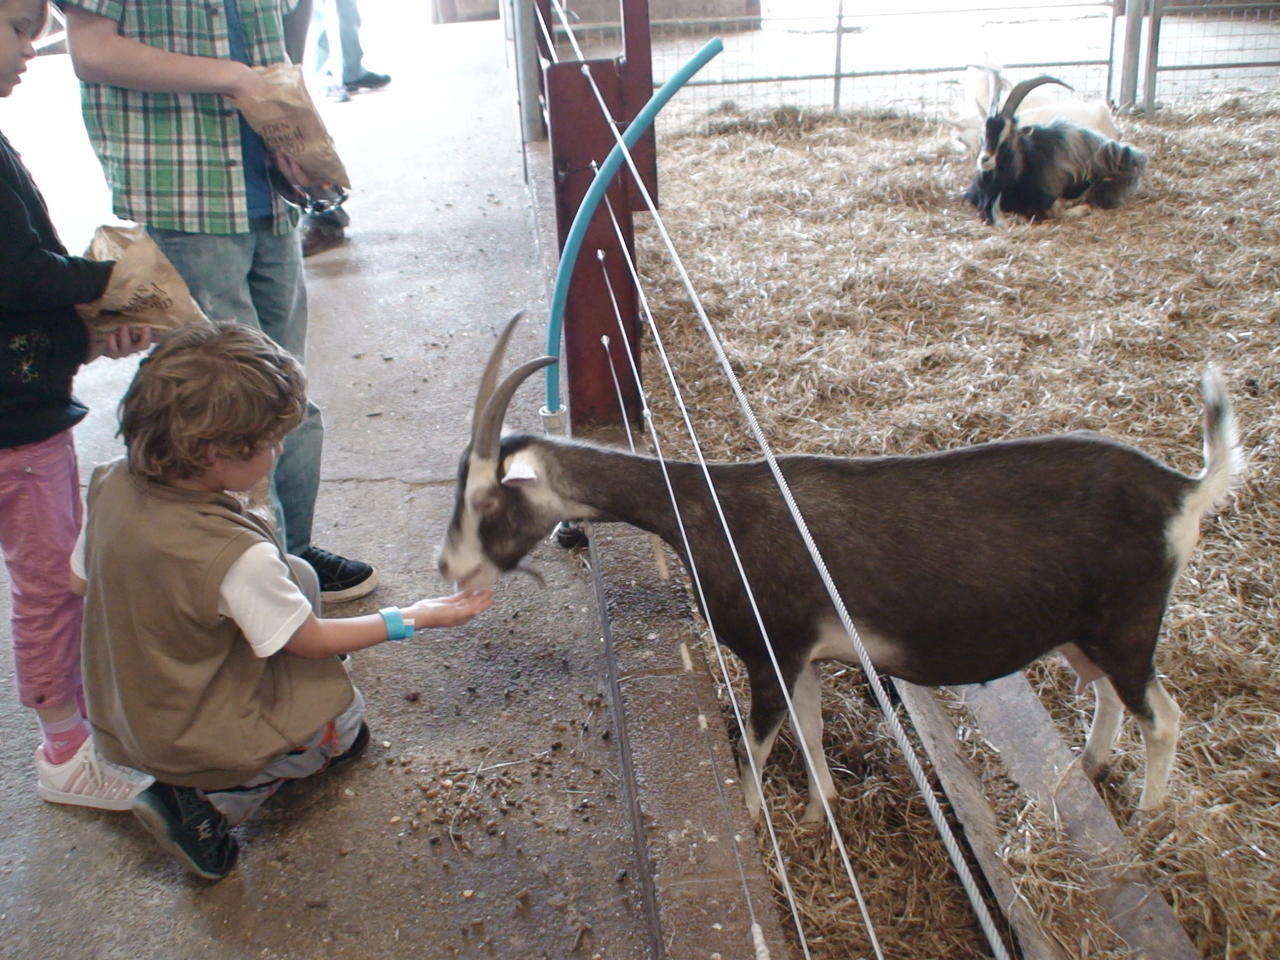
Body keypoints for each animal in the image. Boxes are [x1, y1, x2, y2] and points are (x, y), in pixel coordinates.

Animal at [438, 313, 1243, 822]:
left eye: (485, 500)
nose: (449, 567)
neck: (708, 509)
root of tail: (1184, 490)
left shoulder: (770, 649)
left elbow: (759, 743)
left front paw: (760, 819)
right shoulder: (808, 655)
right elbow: (812, 727)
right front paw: (822, 805)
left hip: (1129, 626)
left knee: (1163, 716)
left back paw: (1149, 813)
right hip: (1084, 631)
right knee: (1107, 694)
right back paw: (1092, 770)